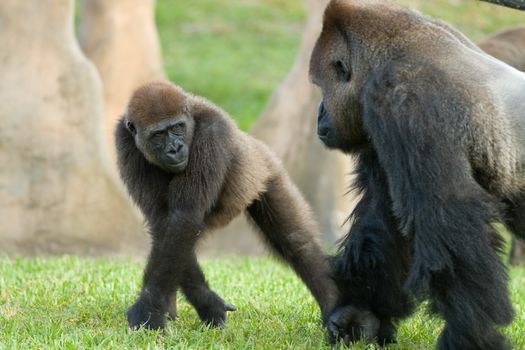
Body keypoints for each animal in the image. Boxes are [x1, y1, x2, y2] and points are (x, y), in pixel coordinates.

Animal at [114, 81, 336, 330]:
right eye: (158, 134)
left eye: (178, 127)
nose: (175, 148)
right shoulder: (124, 140)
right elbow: (166, 225)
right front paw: (204, 302)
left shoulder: (212, 130)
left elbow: (183, 219)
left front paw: (150, 309)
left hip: (268, 169)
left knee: (297, 242)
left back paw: (332, 305)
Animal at [310, 0, 524, 350]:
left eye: (320, 86)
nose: (319, 112)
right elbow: (385, 219)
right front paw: (360, 313)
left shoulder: (404, 100)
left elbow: (447, 216)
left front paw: (469, 333)